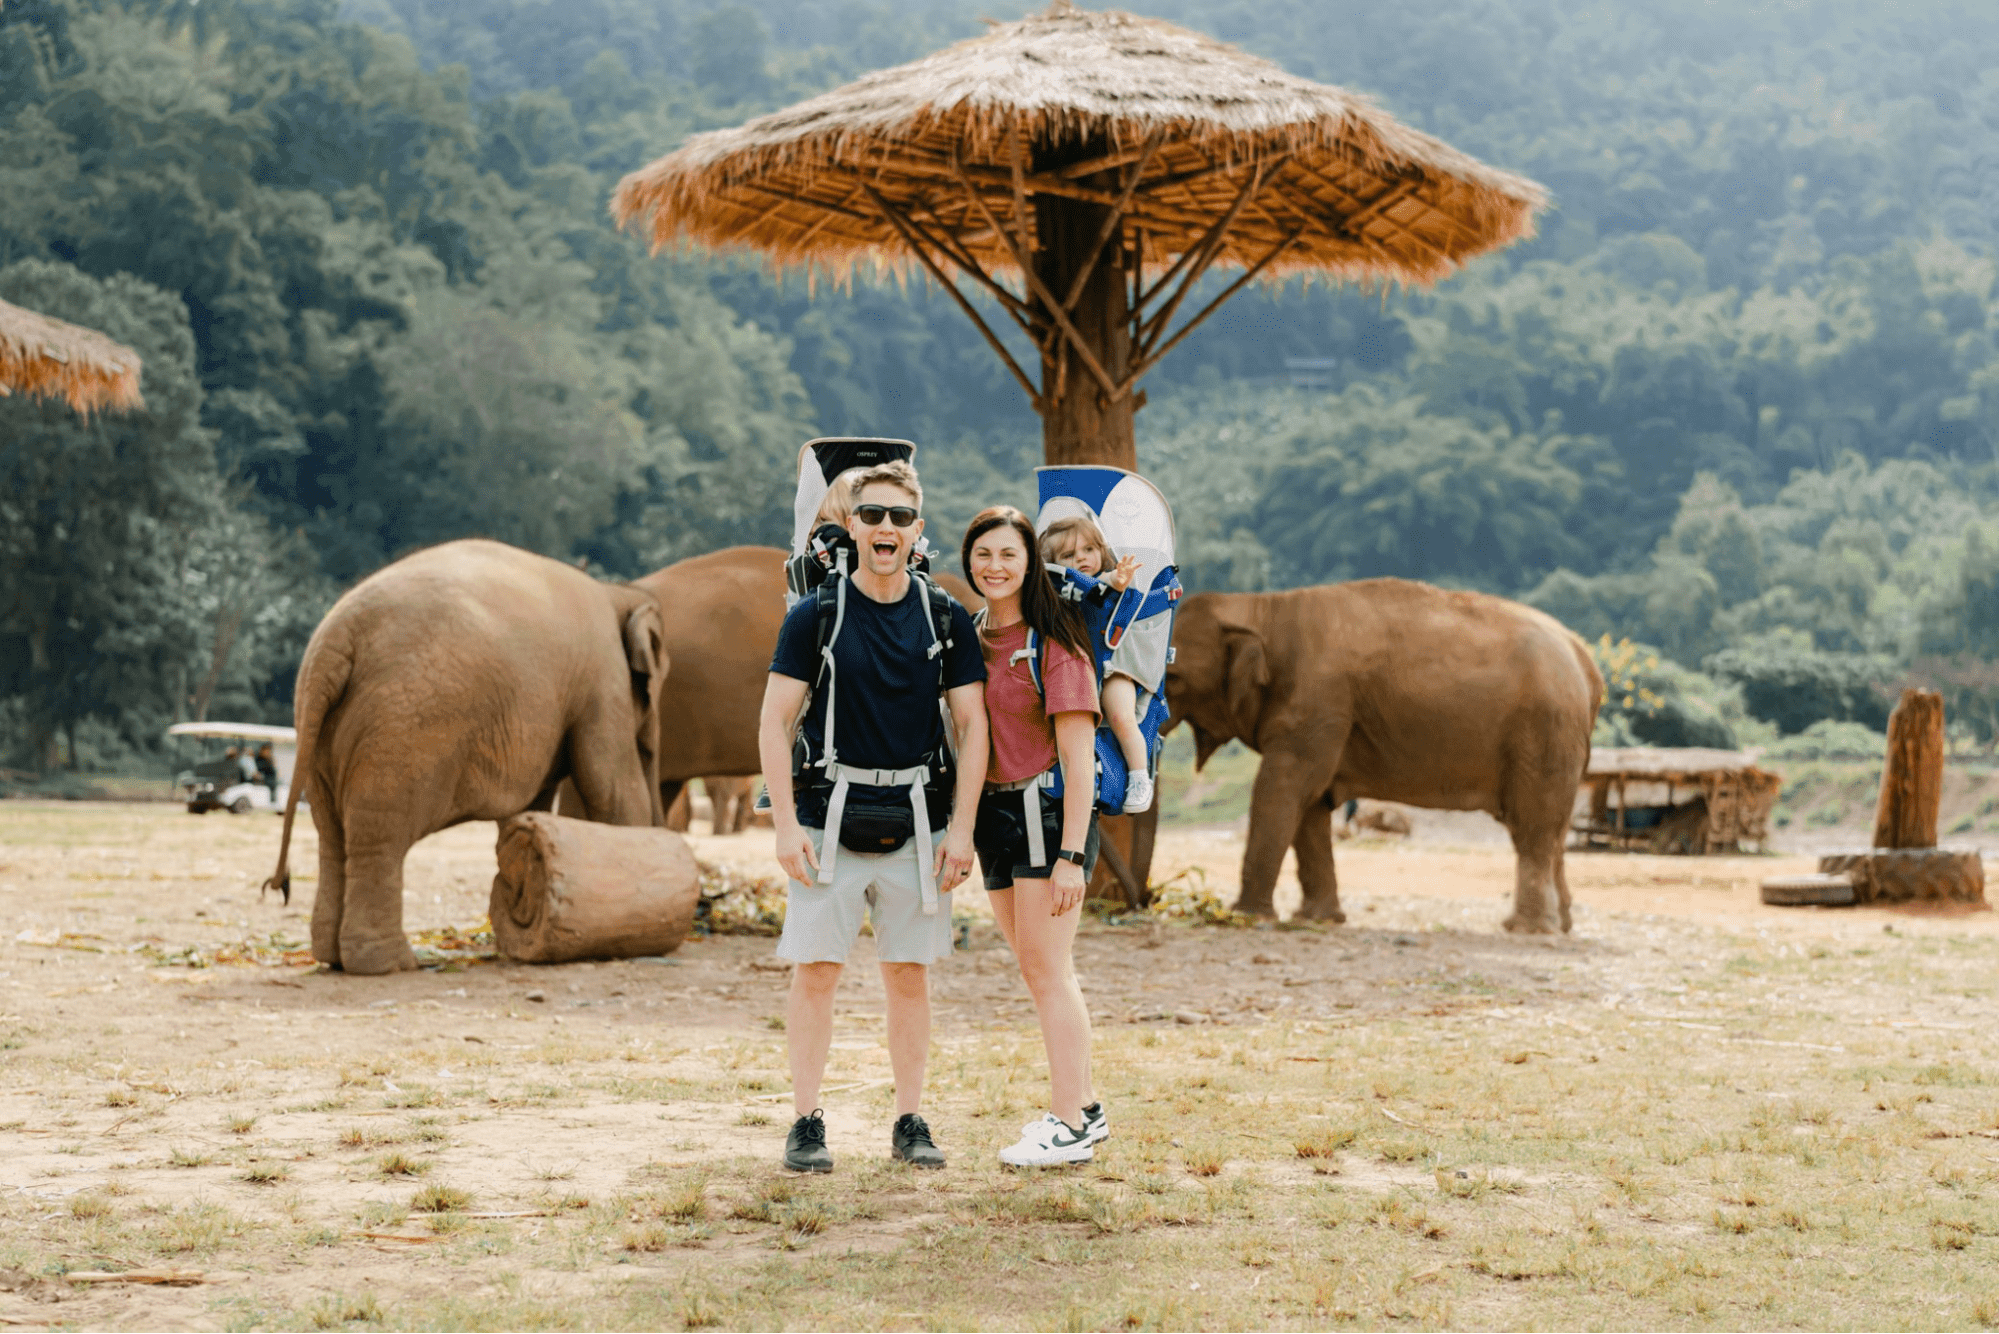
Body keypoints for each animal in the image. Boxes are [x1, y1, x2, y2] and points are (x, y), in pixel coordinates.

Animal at [261, 536, 671, 976]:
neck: (617, 593)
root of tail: (335, 640)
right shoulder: (604, 677)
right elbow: (612, 785)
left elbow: (531, 806)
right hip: (404, 729)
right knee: (380, 835)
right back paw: (393, 964)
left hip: (321, 732)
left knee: (332, 835)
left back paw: (334, 958)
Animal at [1167, 580, 1599, 936]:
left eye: (1171, 678)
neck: (1262, 607)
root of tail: (1583, 654)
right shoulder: (1322, 714)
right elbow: (1311, 803)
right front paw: (1317, 919)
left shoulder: (1319, 701)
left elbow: (1283, 788)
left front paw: (1244, 916)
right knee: (1554, 831)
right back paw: (1560, 925)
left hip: (1544, 731)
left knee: (1533, 827)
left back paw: (1527, 929)